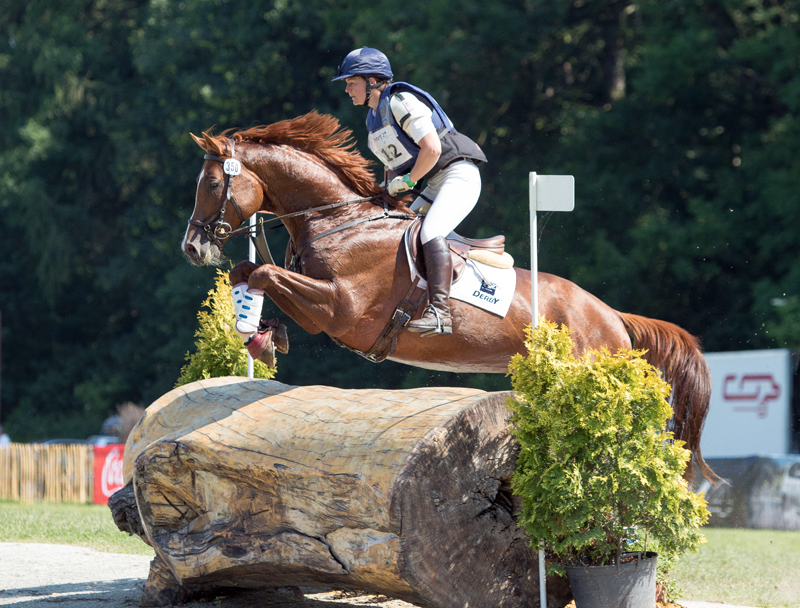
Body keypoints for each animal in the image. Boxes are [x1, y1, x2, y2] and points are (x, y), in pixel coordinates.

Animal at [184, 110, 716, 480]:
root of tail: (612, 316)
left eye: (210, 182)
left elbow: (264, 273)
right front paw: (261, 336)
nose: (192, 247)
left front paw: (257, 334)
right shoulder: (325, 306)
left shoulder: (340, 310)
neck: (338, 220)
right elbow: (249, 271)